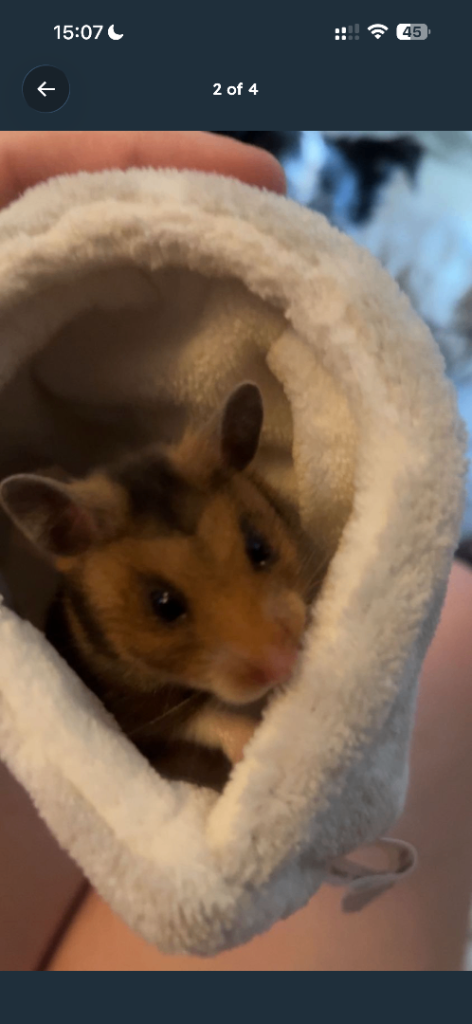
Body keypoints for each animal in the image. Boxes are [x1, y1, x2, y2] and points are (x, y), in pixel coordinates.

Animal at [0, 383, 322, 790]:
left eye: (259, 547)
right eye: (163, 604)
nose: (284, 664)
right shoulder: (133, 714)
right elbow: (205, 718)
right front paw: (252, 745)